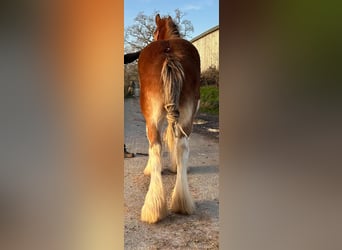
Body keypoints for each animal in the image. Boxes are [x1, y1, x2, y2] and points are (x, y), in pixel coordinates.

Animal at [137, 13, 200, 223]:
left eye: (154, 31)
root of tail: (169, 54)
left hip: (153, 115)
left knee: (156, 146)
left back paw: (154, 208)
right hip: (188, 114)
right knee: (182, 145)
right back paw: (181, 202)